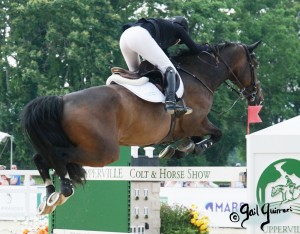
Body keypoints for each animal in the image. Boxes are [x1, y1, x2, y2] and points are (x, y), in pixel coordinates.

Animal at [21, 40, 262, 214]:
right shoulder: (197, 122)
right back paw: (64, 190)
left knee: (41, 157)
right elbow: (216, 135)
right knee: (58, 155)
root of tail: (61, 100)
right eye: (255, 65)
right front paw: (184, 150)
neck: (199, 75)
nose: (257, 97)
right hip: (104, 152)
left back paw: (49, 197)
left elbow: (193, 139)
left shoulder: (189, 127)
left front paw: (177, 148)